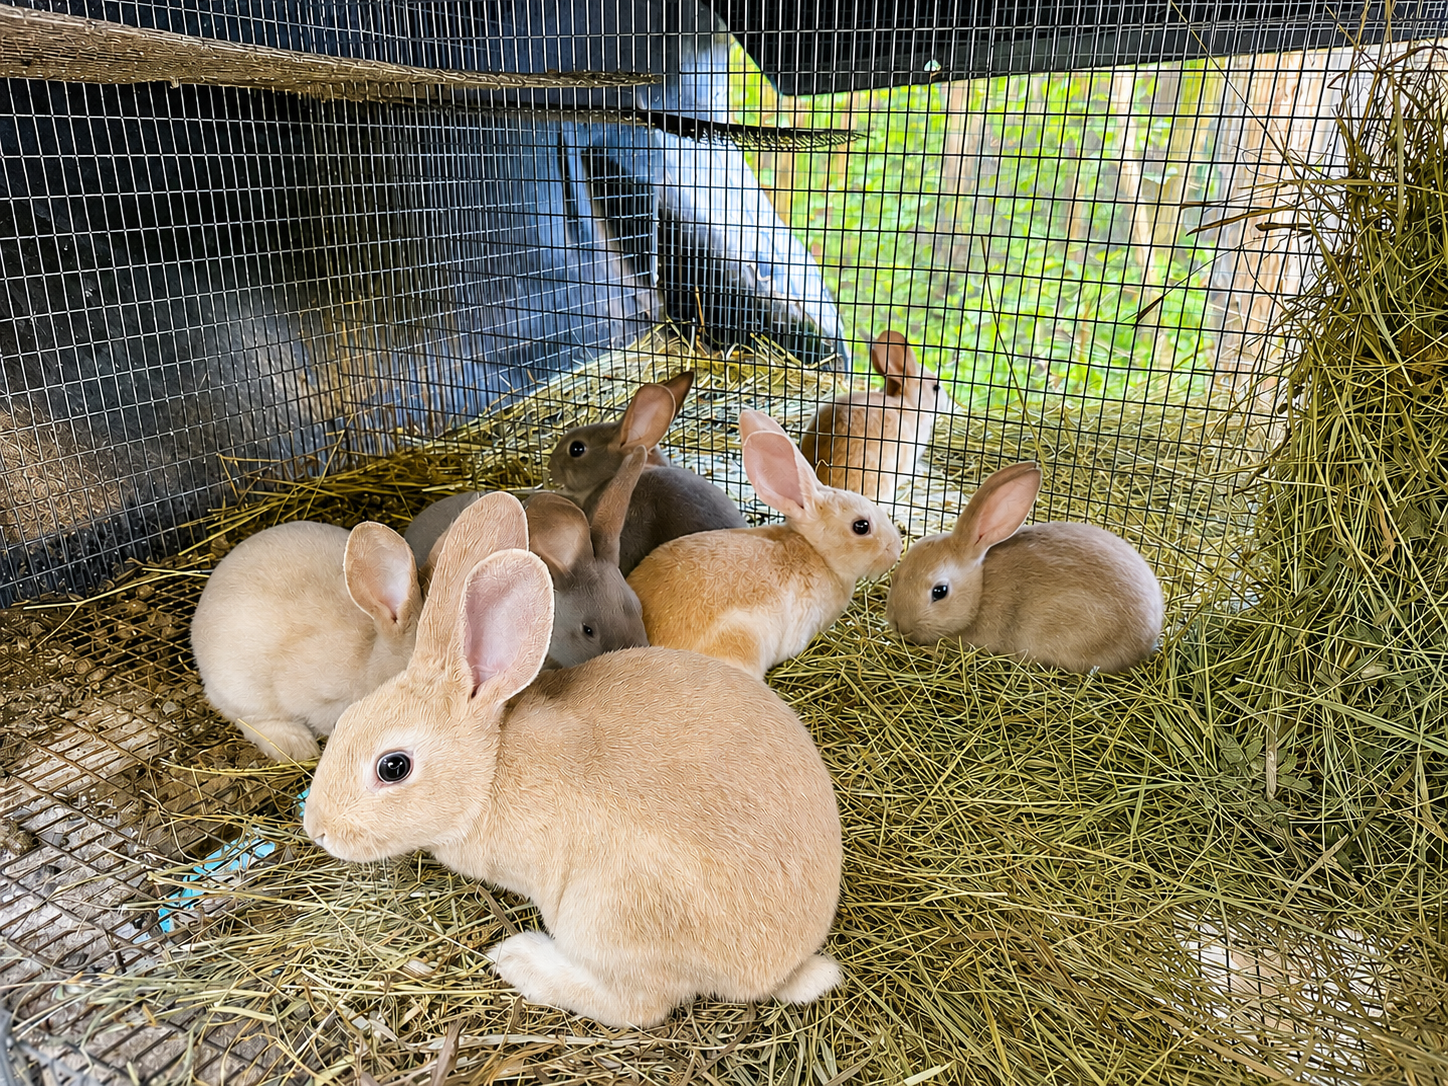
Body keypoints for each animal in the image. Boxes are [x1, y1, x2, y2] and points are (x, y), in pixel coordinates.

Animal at [302, 490, 844, 1029]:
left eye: (393, 767)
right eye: (346, 719)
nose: (318, 829)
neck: (491, 766)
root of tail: (778, 968)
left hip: (603, 914)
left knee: (637, 1005)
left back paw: (519, 958)